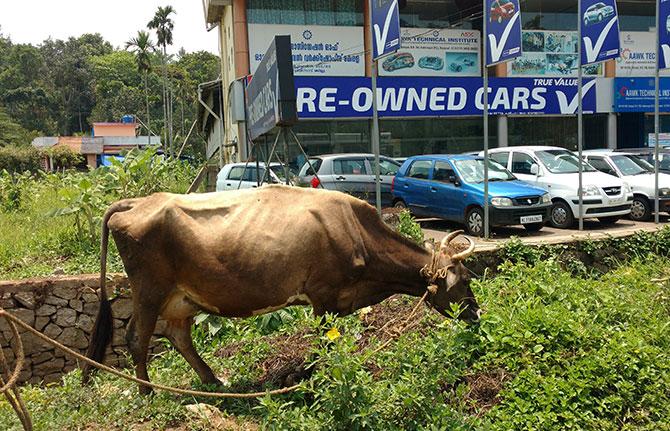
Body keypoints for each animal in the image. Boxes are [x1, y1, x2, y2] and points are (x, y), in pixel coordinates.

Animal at [84, 186, 480, 394]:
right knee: (138, 338)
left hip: (181, 296)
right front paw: (314, 378)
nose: (477, 315)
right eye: (465, 281)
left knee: (178, 335)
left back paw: (214, 380)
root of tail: (140, 201)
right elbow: (324, 343)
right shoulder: (323, 295)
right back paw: (148, 391)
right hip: (149, 288)